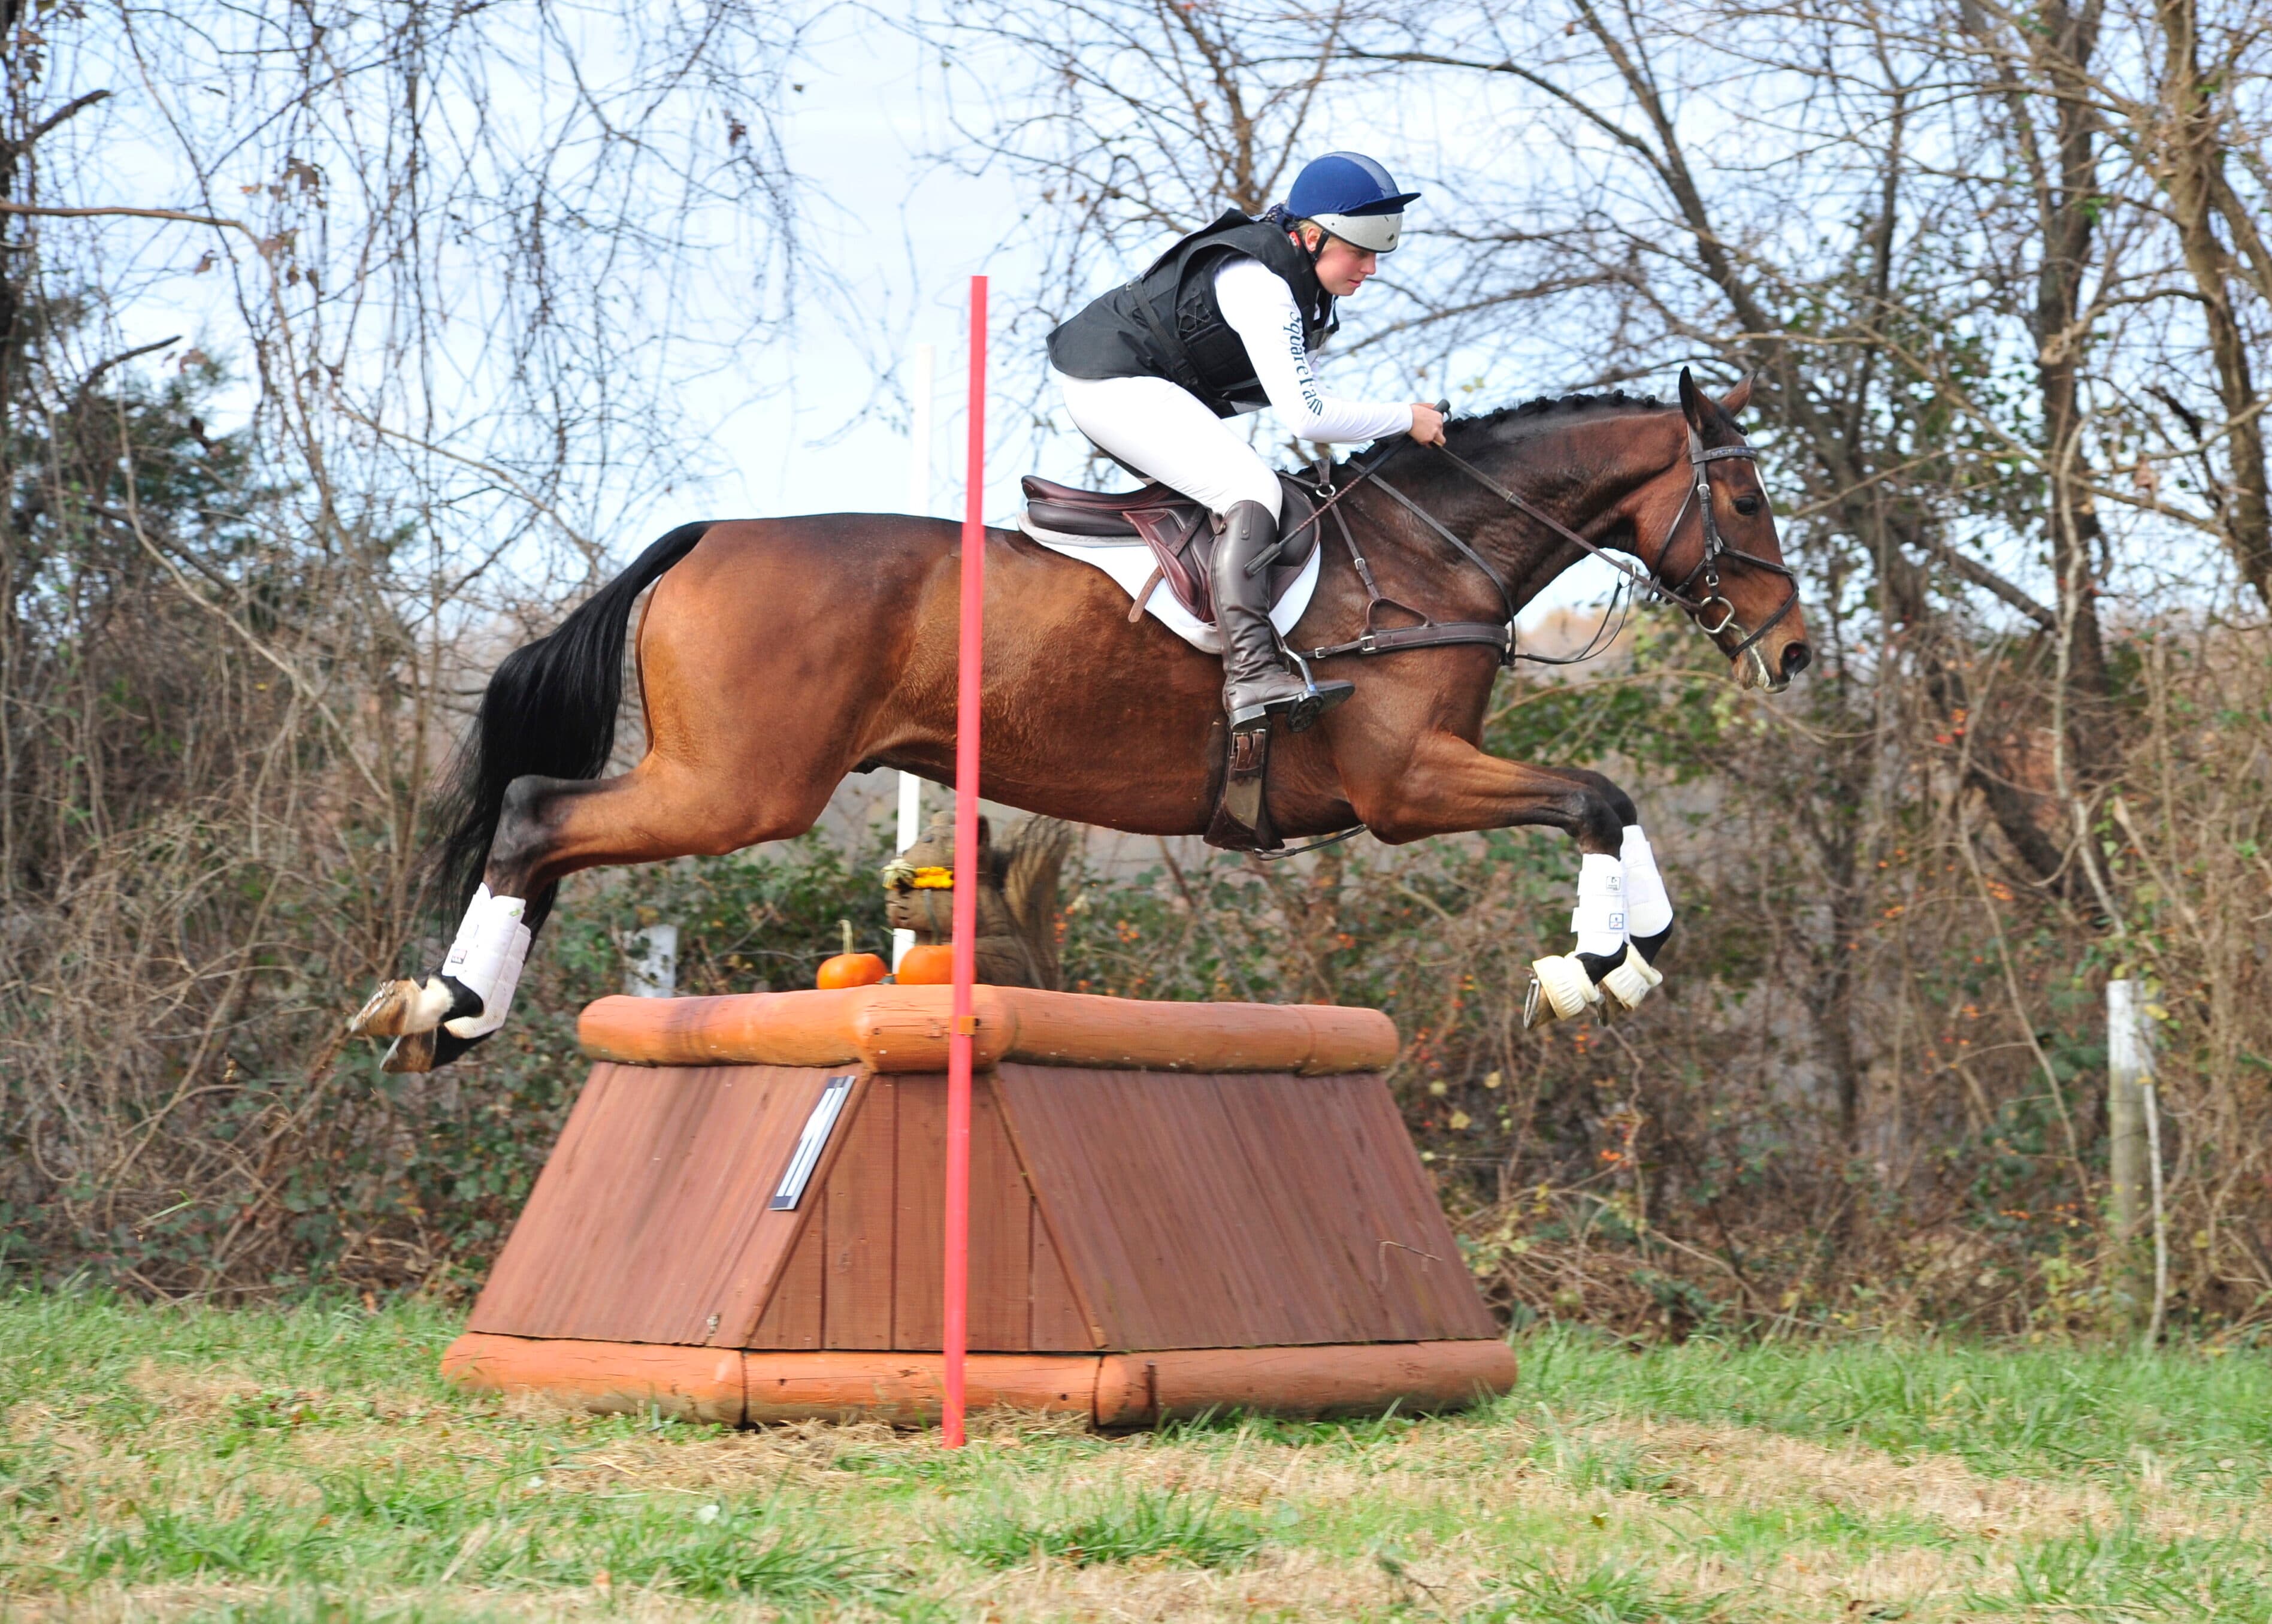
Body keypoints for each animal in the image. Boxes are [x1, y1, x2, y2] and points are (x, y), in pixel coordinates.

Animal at [352, 369, 1809, 1070]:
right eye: (1743, 503)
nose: (1793, 654)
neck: (1429, 551)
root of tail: (710, 533)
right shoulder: (1405, 786)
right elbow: (1594, 795)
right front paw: (1595, 965)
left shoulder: (1419, 781)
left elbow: (1605, 799)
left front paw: (1632, 951)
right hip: (736, 787)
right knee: (537, 814)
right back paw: (451, 1005)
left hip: (722, 780)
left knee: (540, 823)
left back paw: (446, 1014)